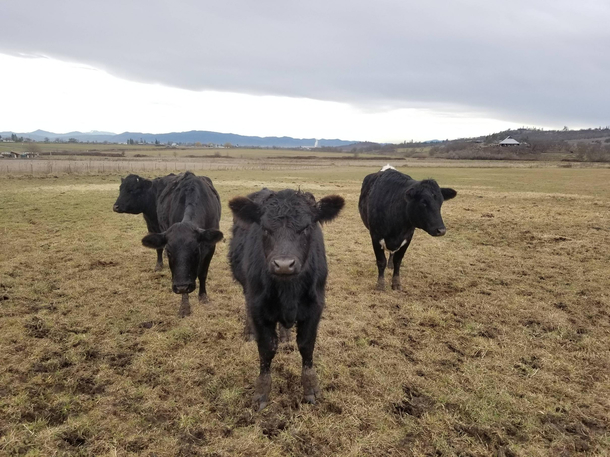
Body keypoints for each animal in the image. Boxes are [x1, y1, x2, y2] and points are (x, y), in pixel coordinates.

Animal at [141, 171, 222, 318]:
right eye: (169, 252)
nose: (181, 287)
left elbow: (202, 273)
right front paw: (184, 307)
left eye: (196, 250)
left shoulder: (210, 247)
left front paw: (203, 296)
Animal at [227, 187, 342, 408]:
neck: (289, 290)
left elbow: (306, 345)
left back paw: (286, 336)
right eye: (265, 228)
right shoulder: (258, 307)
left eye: (306, 227)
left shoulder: (315, 306)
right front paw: (262, 390)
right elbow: (267, 347)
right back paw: (249, 332)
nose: (283, 265)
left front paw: (310, 387)